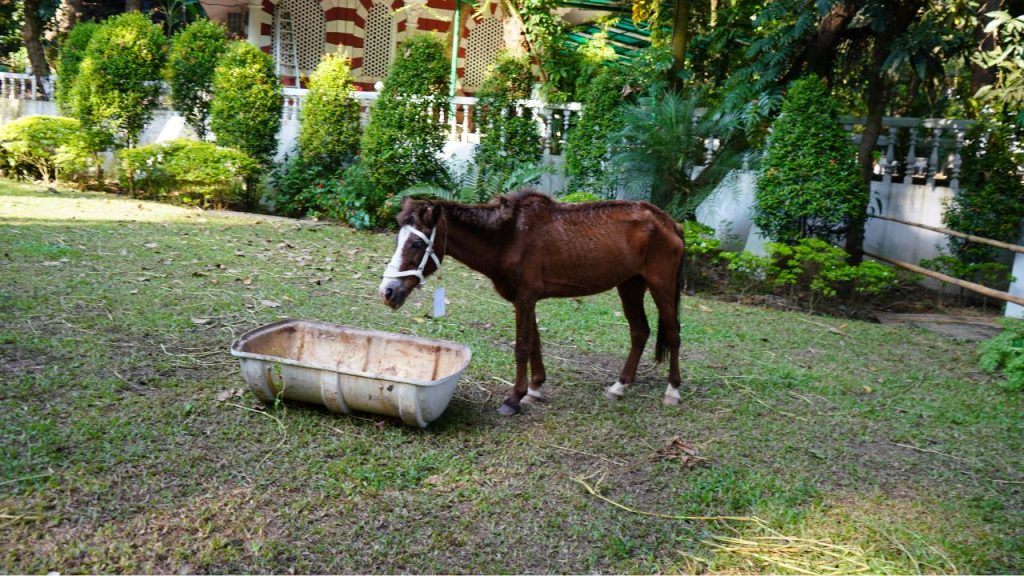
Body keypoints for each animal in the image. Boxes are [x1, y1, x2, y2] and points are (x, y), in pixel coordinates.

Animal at [378, 190, 686, 415]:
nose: (388, 291)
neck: (509, 237)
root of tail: (668, 221)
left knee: (673, 334)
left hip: (661, 286)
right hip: (630, 285)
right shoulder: (526, 300)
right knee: (640, 332)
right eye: (398, 241)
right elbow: (535, 342)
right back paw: (620, 385)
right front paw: (535, 389)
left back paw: (673, 390)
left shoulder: (525, 298)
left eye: (417, 244)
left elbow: (522, 347)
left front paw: (514, 398)